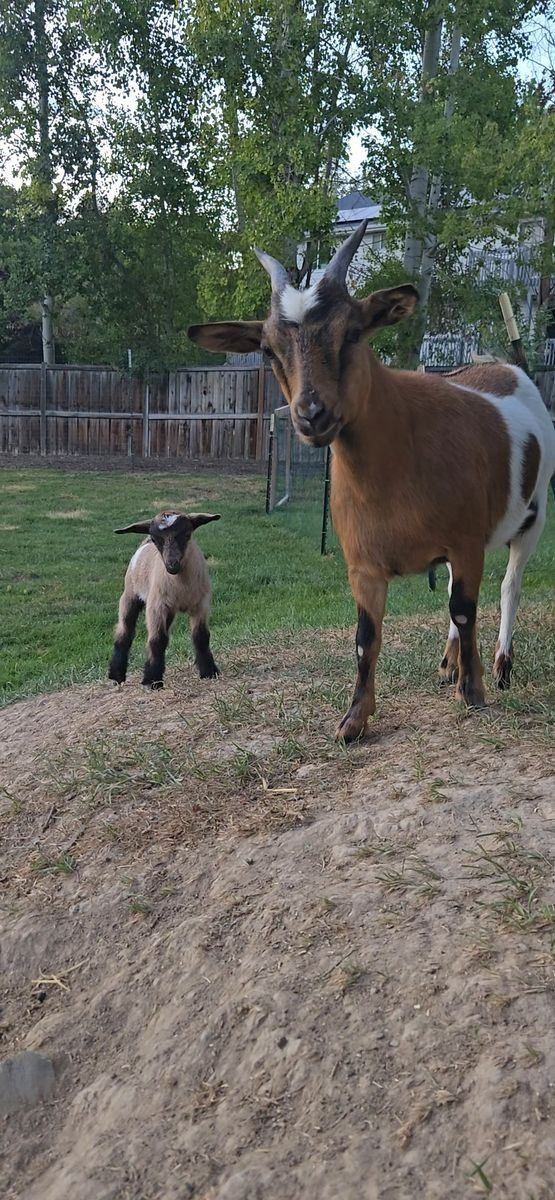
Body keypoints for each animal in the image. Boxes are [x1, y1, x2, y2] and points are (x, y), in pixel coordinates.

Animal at [108, 510, 220, 689]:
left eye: (187, 534)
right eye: (156, 539)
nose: (172, 565)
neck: (181, 585)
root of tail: (143, 543)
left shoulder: (201, 604)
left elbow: (201, 636)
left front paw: (209, 671)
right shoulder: (156, 606)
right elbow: (157, 640)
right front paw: (152, 680)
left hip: (169, 610)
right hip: (130, 595)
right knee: (125, 632)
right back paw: (116, 675)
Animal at [188, 220, 555, 741]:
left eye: (354, 331)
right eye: (268, 349)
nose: (311, 414)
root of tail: (504, 367)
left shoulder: (466, 540)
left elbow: (466, 609)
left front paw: (474, 691)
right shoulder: (363, 563)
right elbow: (366, 637)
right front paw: (354, 720)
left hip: (534, 513)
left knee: (509, 587)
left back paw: (501, 666)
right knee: (453, 590)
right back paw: (448, 663)